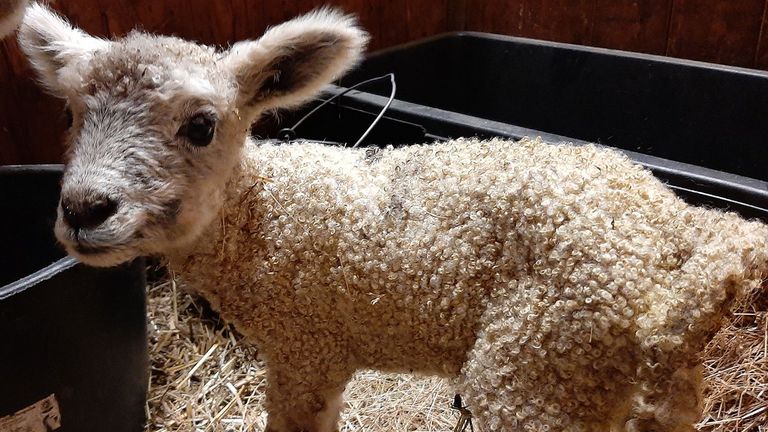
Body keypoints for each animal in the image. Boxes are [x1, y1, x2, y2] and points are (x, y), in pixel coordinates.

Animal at [18, 4, 768, 432]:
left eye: (201, 126)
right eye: (70, 115)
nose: (85, 209)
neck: (261, 219)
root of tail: (682, 233)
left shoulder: (308, 348)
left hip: (540, 362)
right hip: (636, 376)